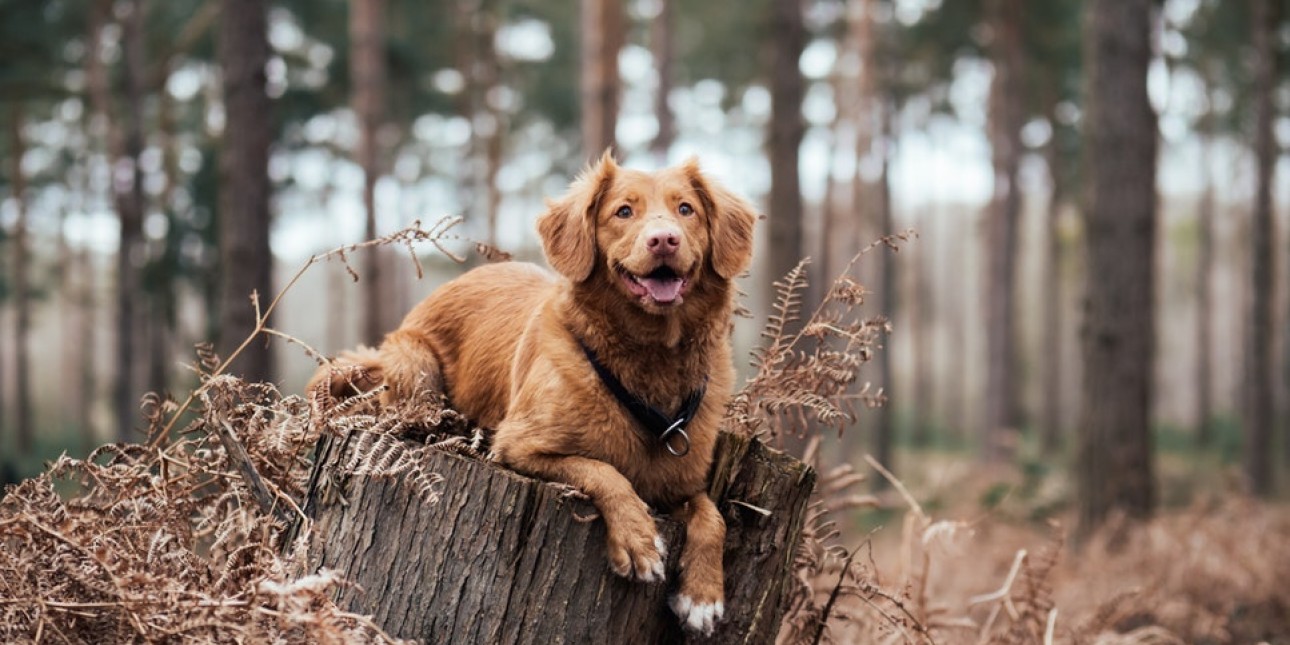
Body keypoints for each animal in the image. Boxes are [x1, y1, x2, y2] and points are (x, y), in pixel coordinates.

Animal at [309, 152, 753, 634]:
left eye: (686, 209)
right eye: (623, 211)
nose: (664, 240)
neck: (650, 361)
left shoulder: (681, 482)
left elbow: (712, 516)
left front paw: (703, 595)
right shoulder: (519, 446)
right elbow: (604, 470)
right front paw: (638, 538)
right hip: (415, 365)